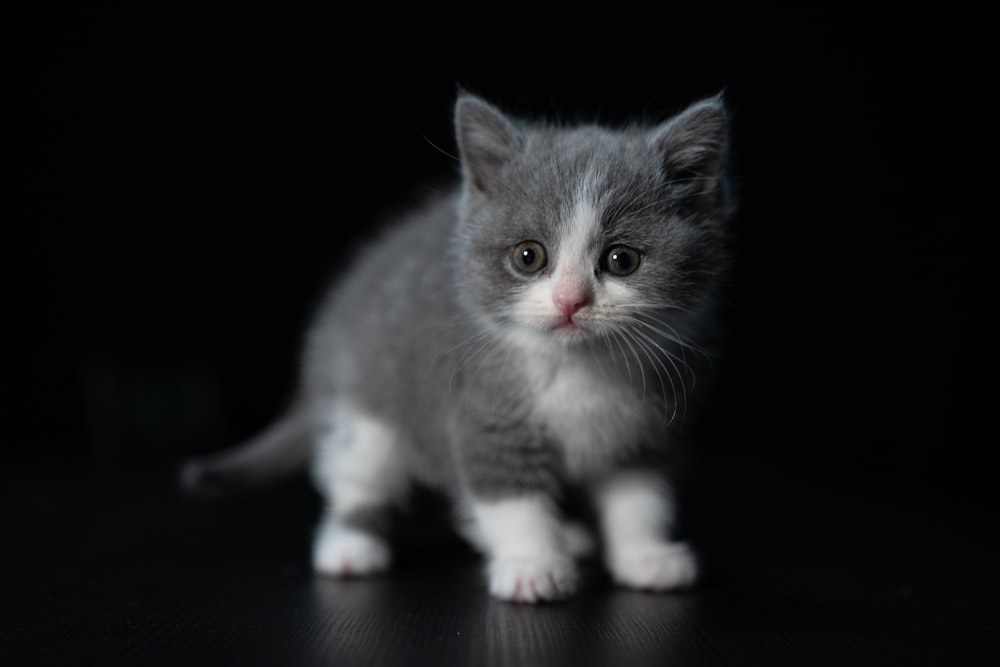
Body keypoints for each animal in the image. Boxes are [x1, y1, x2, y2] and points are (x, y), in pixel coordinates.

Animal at [184, 94, 736, 604]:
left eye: (622, 260)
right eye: (529, 256)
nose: (570, 300)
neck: (581, 367)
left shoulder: (647, 427)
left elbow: (639, 497)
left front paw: (645, 556)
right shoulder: (484, 413)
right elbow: (508, 495)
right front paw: (531, 564)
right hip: (366, 400)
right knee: (355, 473)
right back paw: (349, 543)